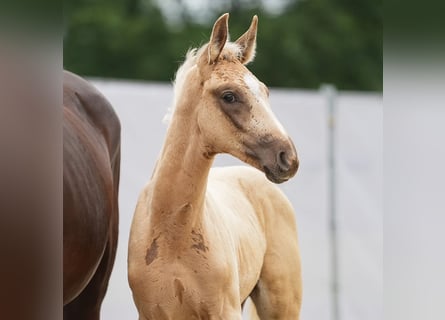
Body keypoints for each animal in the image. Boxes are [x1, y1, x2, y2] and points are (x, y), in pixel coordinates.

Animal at [128, 13, 302, 318]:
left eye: (265, 92)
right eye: (229, 95)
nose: (287, 158)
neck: (173, 233)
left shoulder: (225, 310)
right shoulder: (150, 313)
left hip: (282, 304)